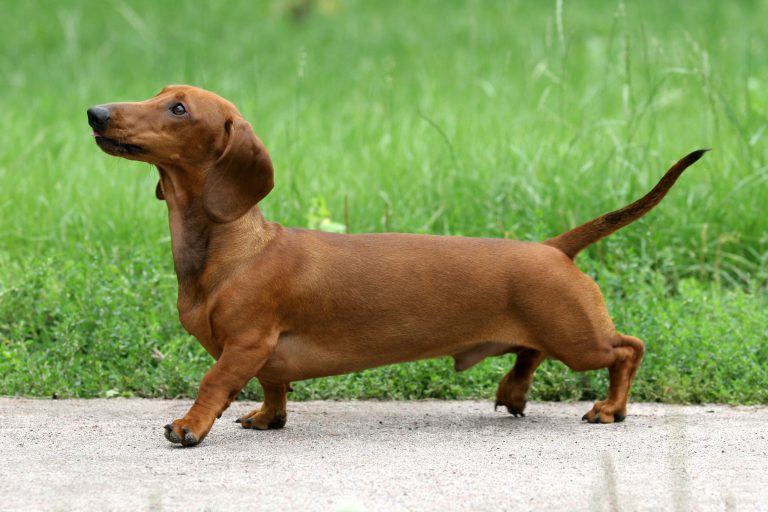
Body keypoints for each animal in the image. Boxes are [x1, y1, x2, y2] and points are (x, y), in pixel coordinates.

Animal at [87, 84, 704, 444]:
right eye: (160, 94)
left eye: (178, 108)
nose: (94, 111)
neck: (234, 246)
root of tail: (553, 247)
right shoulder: (264, 355)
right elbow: (273, 386)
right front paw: (268, 417)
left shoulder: (246, 341)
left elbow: (214, 381)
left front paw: (189, 425)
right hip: (555, 330)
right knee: (530, 353)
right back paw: (512, 392)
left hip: (578, 338)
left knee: (628, 349)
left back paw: (610, 408)